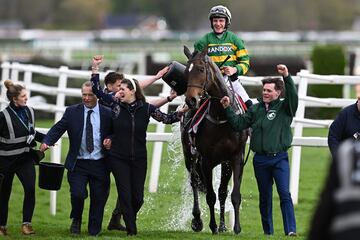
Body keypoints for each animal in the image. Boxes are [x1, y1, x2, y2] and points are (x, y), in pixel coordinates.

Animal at [181, 46, 249, 233]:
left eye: (201, 69)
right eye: (186, 72)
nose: (191, 100)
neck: (222, 117)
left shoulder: (235, 158)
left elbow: (232, 194)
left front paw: (235, 227)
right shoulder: (206, 160)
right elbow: (210, 196)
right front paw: (212, 226)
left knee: (222, 192)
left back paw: (223, 225)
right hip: (189, 157)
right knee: (194, 183)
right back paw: (197, 220)